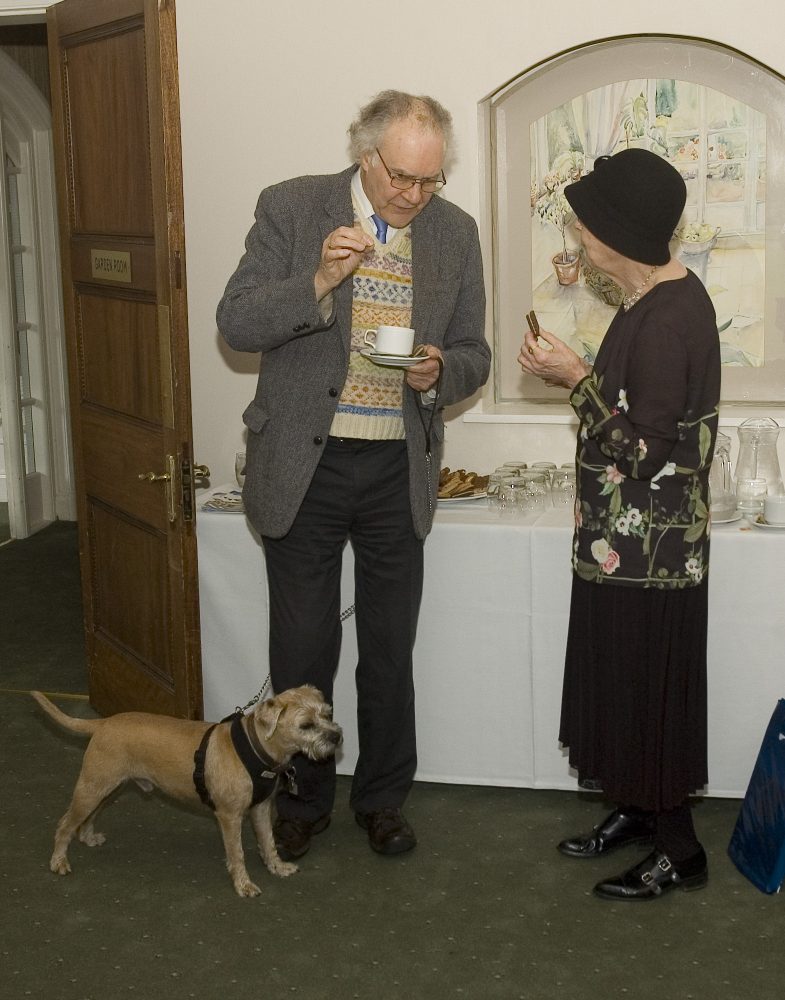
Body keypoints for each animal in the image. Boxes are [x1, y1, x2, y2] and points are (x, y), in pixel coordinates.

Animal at [32, 685, 342, 897]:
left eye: (328, 714)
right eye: (306, 725)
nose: (337, 736)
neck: (256, 749)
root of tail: (103, 722)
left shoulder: (261, 809)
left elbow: (267, 843)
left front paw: (277, 868)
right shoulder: (229, 817)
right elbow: (237, 853)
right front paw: (243, 884)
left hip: (106, 788)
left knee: (88, 816)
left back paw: (87, 836)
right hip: (91, 788)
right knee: (64, 824)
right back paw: (59, 861)